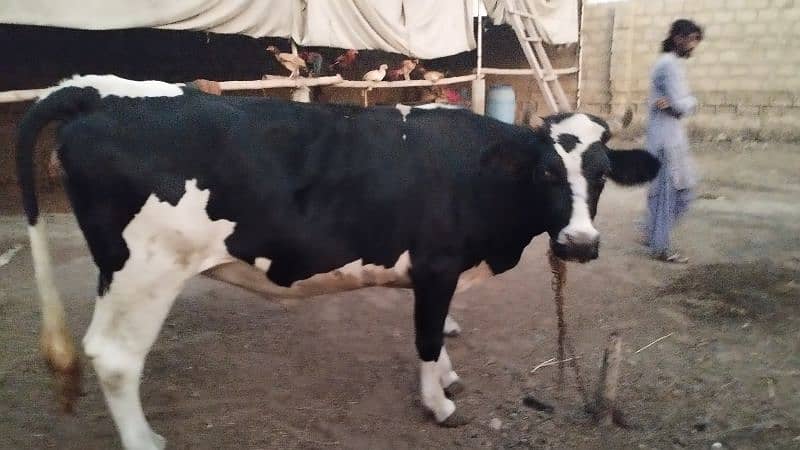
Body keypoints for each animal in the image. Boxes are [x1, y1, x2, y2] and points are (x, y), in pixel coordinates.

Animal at [17, 74, 656, 450]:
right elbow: (427, 336)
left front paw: (449, 377)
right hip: (144, 270)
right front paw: (440, 403)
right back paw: (144, 439)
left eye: (602, 174)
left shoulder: (437, 274)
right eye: (547, 172)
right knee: (115, 357)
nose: (579, 243)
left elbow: (438, 330)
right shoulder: (437, 264)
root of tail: (98, 90)